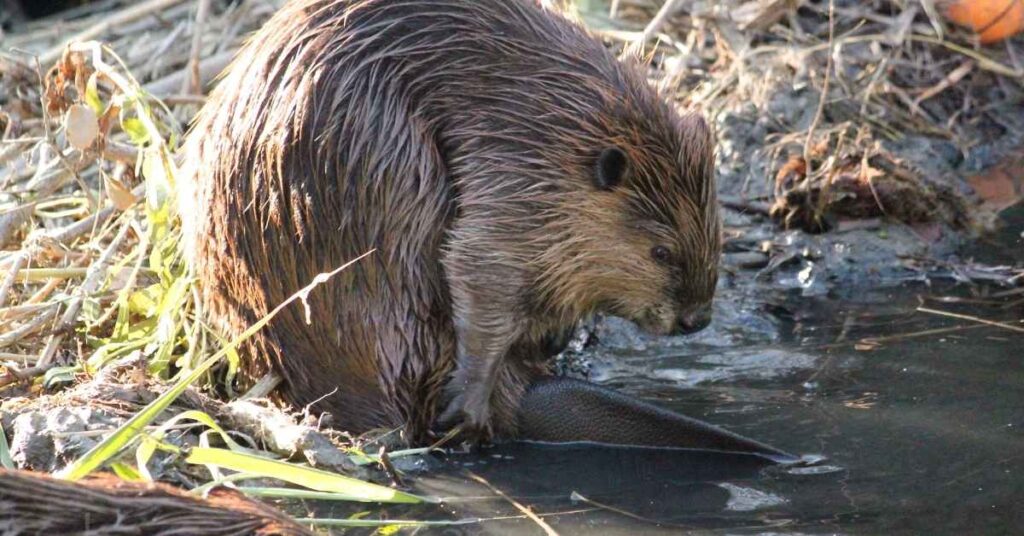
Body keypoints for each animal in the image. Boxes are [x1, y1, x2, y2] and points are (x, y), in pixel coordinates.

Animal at [180, 0, 790, 459]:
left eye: (717, 235)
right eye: (661, 251)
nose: (695, 320)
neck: (562, 124)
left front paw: (557, 332)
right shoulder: (507, 176)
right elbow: (476, 267)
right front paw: (466, 404)